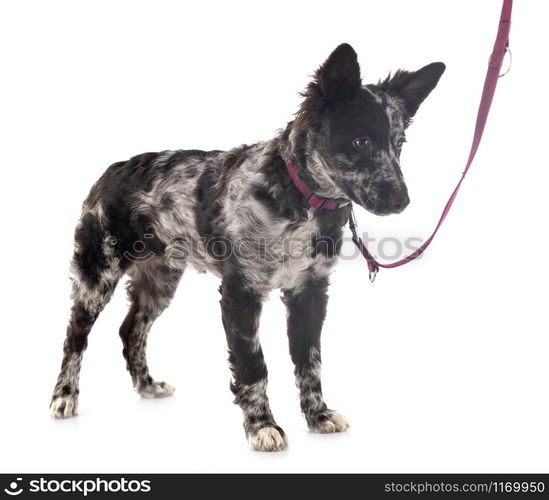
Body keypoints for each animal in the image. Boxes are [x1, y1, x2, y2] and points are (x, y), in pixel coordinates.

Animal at [50, 42, 446, 450]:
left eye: (398, 144)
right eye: (361, 141)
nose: (401, 201)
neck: (301, 201)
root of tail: (113, 169)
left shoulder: (309, 292)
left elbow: (310, 362)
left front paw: (317, 416)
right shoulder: (241, 292)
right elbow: (253, 366)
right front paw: (262, 426)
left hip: (160, 282)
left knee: (131, 331)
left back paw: (147, 385)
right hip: (98, 274)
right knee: (75, 336)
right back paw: (64, 396)